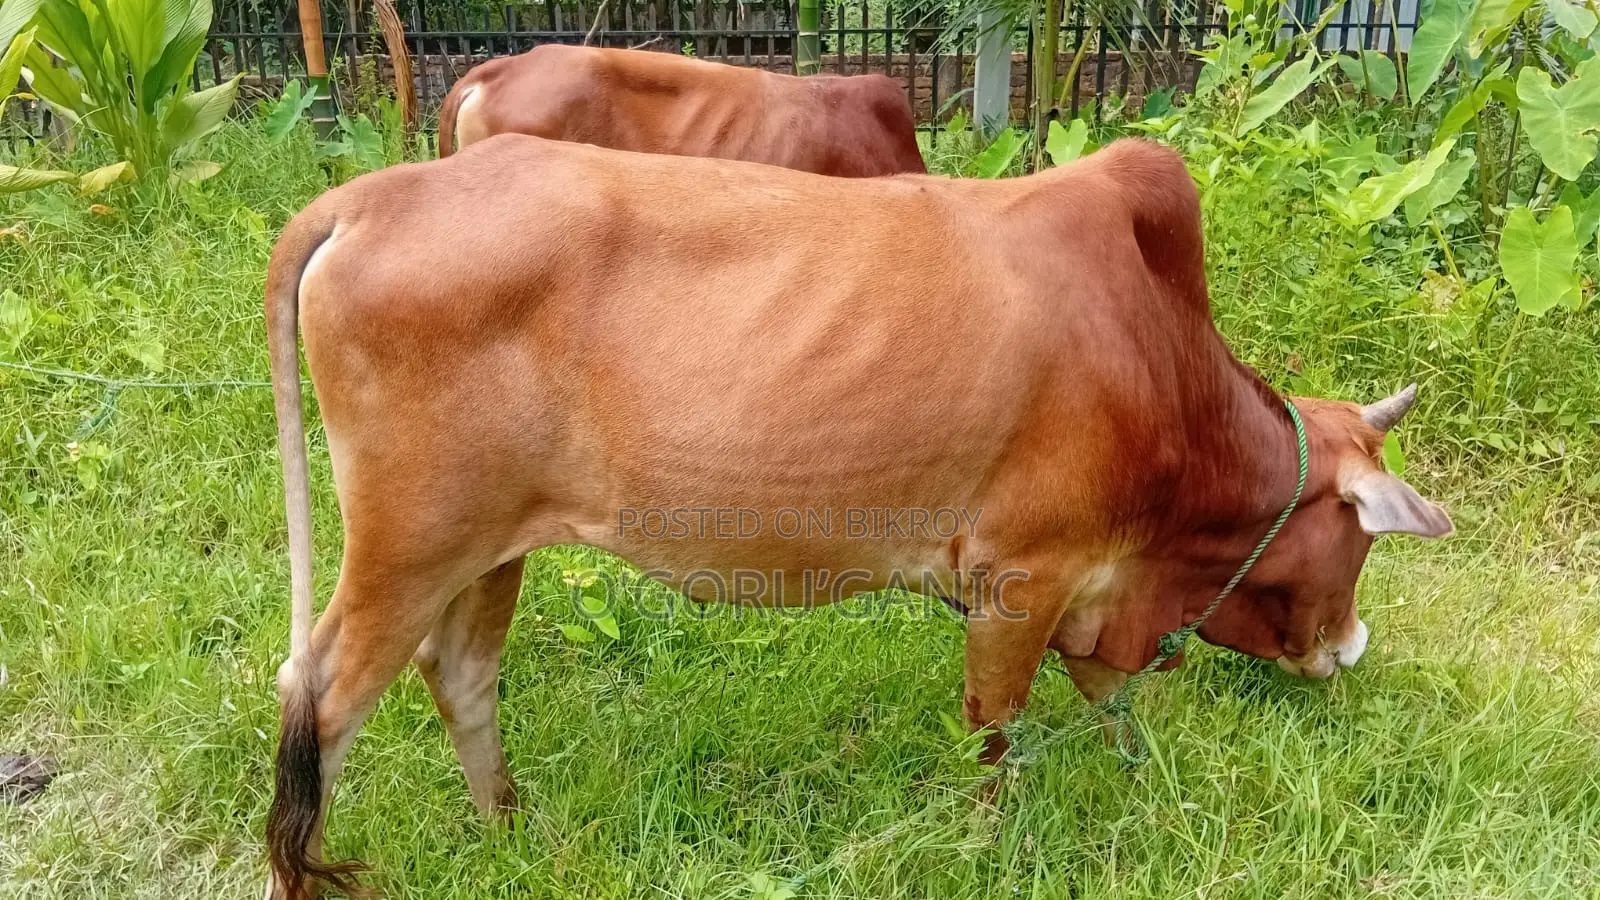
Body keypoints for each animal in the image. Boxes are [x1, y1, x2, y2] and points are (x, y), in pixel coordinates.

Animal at [261, 136, 1451, 897]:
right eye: (1358, 539)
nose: (1349, 646)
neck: (1160, 363)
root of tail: (373, 197)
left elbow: (1112, 705)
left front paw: (1141, 785)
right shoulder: (1024, 577)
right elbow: (996, 735)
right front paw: (991, 848)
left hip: (492, 542)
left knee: (459, 673)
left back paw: (511, 832)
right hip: (409, 542)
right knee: (319, 698)